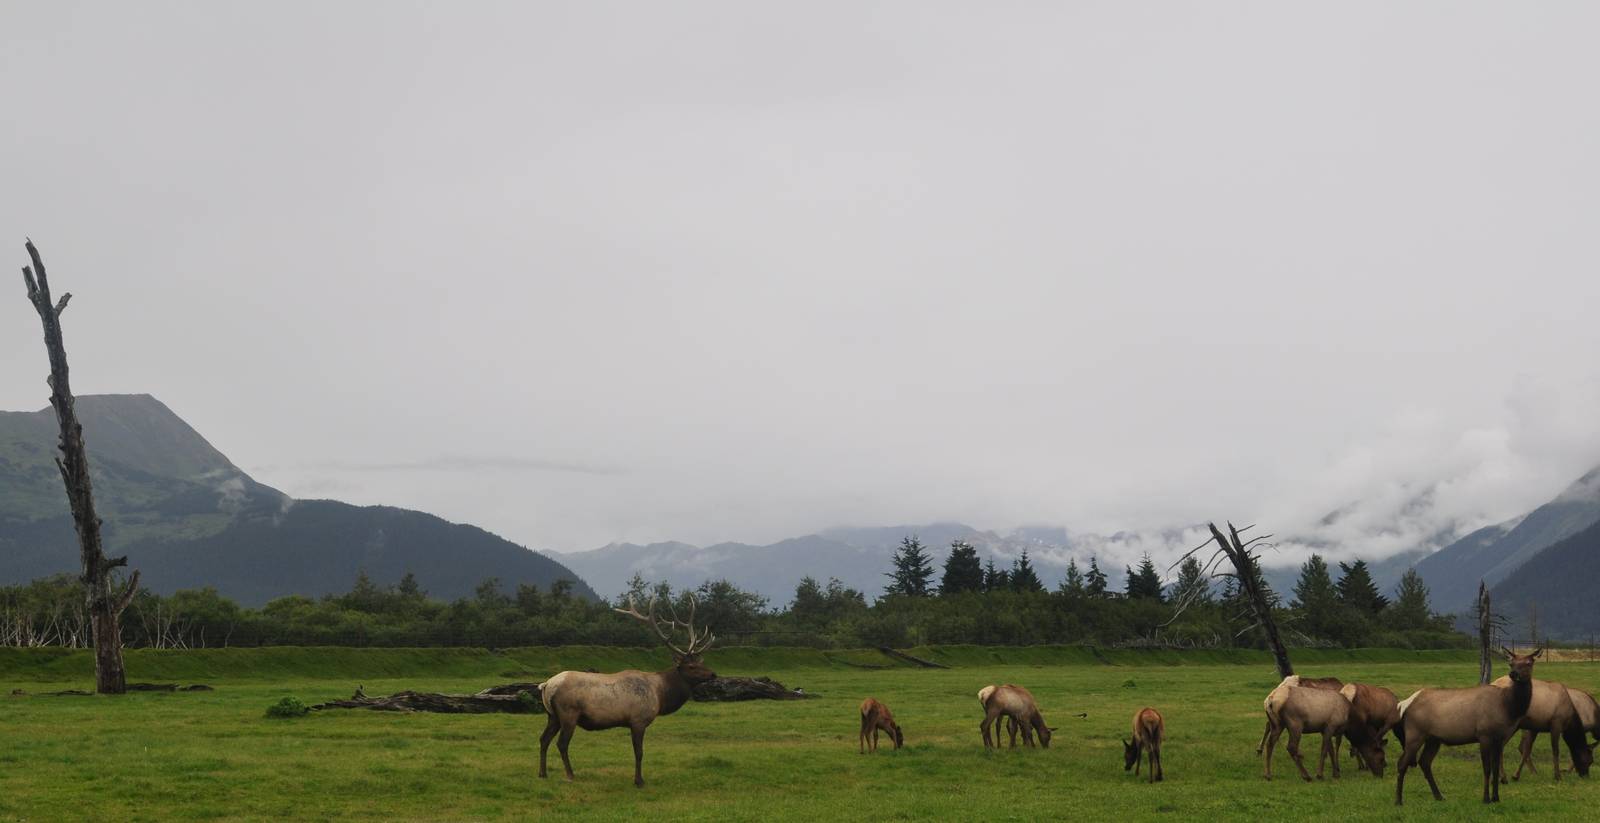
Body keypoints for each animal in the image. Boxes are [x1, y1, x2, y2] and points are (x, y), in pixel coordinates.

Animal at [537, 595, 717, 787]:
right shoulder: (638, 720)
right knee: (562, 743)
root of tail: (546, 685)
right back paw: (570, 775)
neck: (660, 695)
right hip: (568, 713)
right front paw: (639, 781)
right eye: (691, 666)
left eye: (700, 662)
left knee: (543, 739)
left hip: (552, 715)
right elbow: (639, 752)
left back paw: (543, 773)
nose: (713, 674)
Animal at [1393, 646, 1539, 805]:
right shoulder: (1484, 735)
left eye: (1529, 663)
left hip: (1433, 739)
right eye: (1511, 663)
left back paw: (1439, 796)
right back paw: (1398, 800)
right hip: (1415, 734)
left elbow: (1495, 768)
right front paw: (1486, 798)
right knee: (1402, 763)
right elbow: (1487, 768)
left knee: (1424, 762)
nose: (1513, 674)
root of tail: (1404, 704)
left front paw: (1496, 797)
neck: (1508, 707)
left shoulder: (1499, 738)